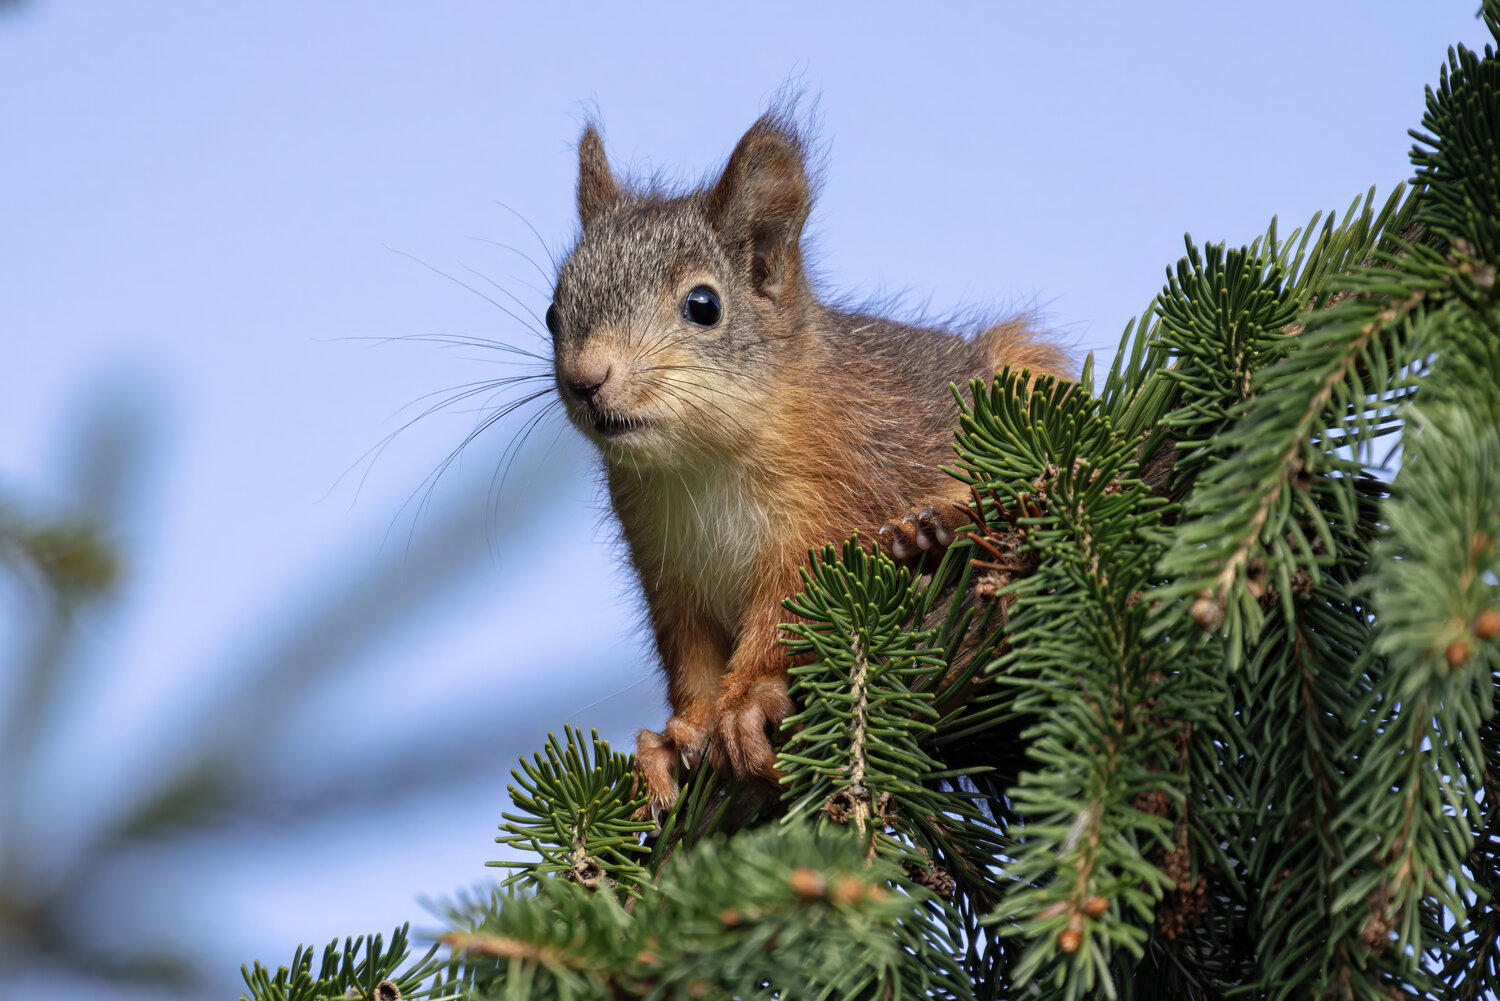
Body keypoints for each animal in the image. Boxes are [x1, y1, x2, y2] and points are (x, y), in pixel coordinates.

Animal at [546, 110, 1070, 815]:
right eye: (553, 311)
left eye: (704, 306)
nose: (586, 380)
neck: (701, 464)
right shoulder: (665, 563)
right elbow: (690, 656)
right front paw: (679, 735)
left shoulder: (830, 501)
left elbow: (788, 610)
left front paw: (743, 704)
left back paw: (939, 531)